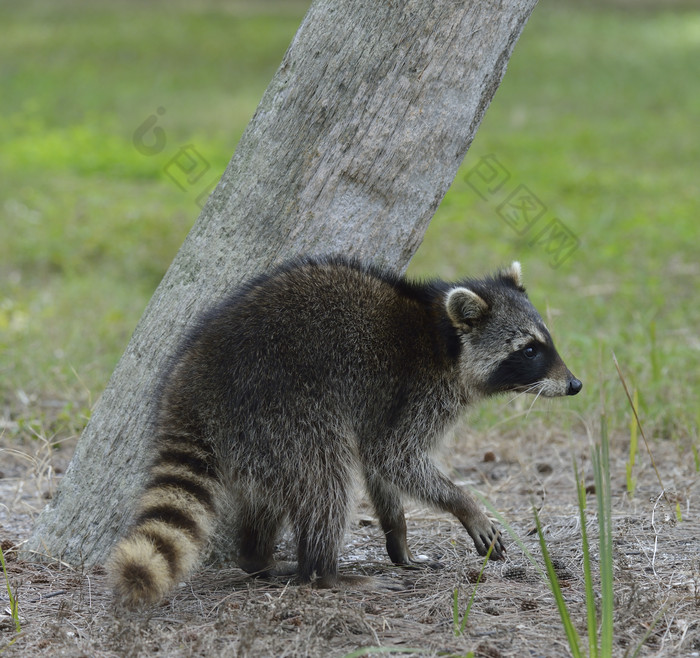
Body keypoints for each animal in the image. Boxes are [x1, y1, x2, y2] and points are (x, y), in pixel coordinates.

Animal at [108, 254, 580, 604]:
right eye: (529, 350)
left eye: (546, 342)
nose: (575, 385)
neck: (444, 338)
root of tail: (190, 383)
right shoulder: (418, 392)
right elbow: (394, 457)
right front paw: (465, 504)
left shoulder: (382, 406)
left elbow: (380, 467)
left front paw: (398, 539)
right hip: (281, 408)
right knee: (325, 480)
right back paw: (324, 573)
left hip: (257, 436)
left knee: (272, 493)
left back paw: (257, 556)